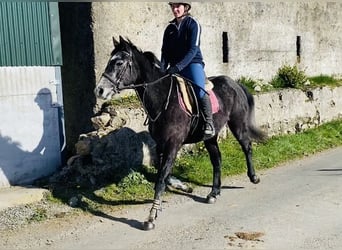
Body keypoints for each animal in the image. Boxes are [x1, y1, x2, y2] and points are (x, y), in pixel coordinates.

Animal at [94, 35, 268, 230]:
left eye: (119, 63)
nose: (99, 90)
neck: (163, 99)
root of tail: (234, 83)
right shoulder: (161, 145)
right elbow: (164, 174)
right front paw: (184, 187)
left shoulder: (173, 144)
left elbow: (161, 178)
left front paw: (151, 216)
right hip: (210, 137)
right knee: (217, 159)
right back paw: (214, 193)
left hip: (237, 125)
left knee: (247, 147)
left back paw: (253, 177)